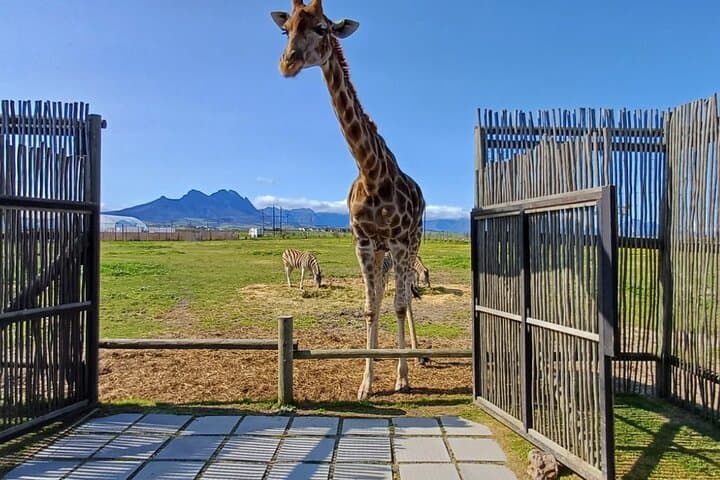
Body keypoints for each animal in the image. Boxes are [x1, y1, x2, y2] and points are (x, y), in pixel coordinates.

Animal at [271, 0, 426, 400]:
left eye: (322, 28)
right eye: (286, 29)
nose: (287, 62)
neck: (372, 172)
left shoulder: (399, 241)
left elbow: (399, 305)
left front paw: (401, 378)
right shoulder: (364, 241)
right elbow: (371, 308)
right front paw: (366, 384)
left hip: (412, 243)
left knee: (404, 298)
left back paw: (413, 360)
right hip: (384, 252)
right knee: (385, 294)